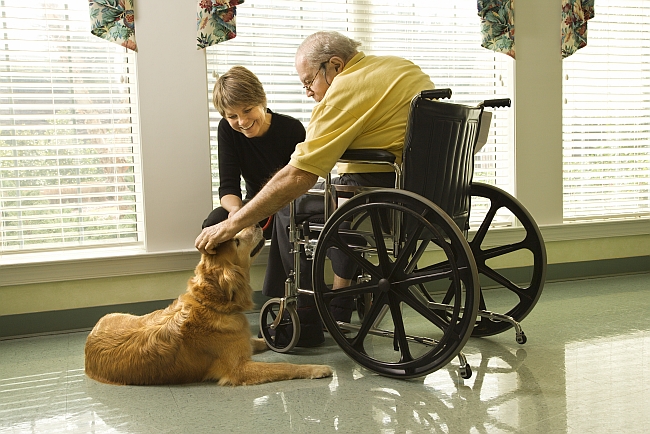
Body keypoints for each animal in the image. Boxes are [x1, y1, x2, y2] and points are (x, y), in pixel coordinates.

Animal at [83, 225, 332, 384]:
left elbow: (259, 342)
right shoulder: (239, 369)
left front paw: (278, 339)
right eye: (237, 241)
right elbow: (284, 367)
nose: (257, 224)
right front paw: (316, 368)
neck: (212, 305)